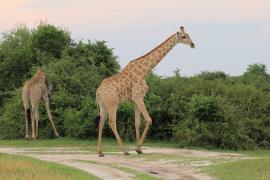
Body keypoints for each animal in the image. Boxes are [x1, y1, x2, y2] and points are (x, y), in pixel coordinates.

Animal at [96, 26, 195, 156]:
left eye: (188, 35)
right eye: (183, 37)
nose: (193, 44)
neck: (144, 71)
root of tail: (98, 91)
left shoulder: (134, 100)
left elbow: (137, 123)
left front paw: (139, 149)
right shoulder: (138, 97)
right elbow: (149, 120)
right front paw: (137, 148)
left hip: (103, 105)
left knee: (101, 123)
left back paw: (100, 152)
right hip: (113, 103)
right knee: (112, 122)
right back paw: (124, 151)